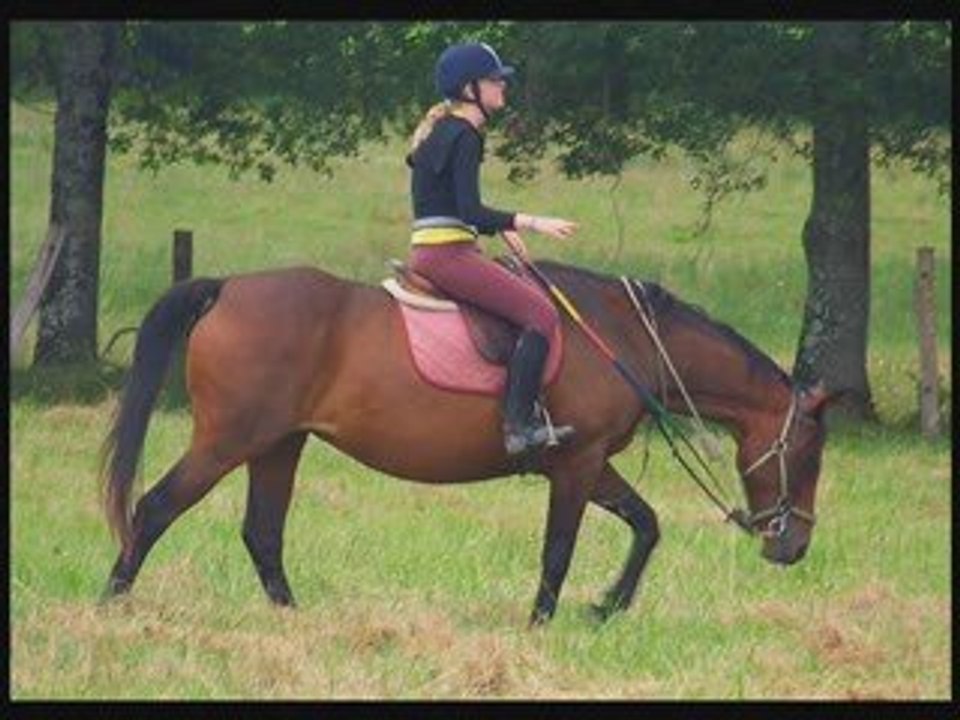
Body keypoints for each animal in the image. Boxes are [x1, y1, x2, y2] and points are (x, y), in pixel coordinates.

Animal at [100, 259, 831, 625]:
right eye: (807, 455)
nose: (795, 547)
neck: (621, 338)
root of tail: (229, 287)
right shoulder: (577, 466)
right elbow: (559, 550)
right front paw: (541, 625)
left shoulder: (590, 464)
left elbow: (647, 525)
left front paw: (607, 607)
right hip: (228, 441)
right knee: (154, 508)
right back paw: (111, 605)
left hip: (280, 443)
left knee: (262, 532)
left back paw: (293, 621)